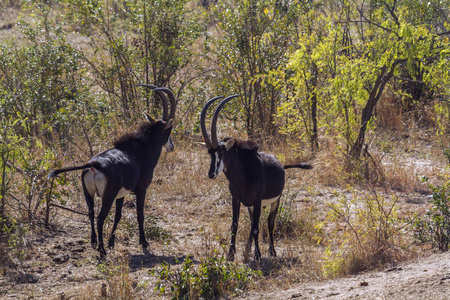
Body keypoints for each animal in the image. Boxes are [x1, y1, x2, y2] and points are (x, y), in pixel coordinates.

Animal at [48, 84, 176, 255]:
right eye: (169, 130)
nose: (171, 147)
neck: (142, 148)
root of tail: (94, 165)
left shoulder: (121, 194)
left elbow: (118, 216)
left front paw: (111, 242)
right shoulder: (141, 189)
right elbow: (140, 215)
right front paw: (143, 242)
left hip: (88, 194)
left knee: (91, 213)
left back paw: (94, 241)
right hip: (107, 196)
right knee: (100, 217)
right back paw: (101, 250)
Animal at [200, 95, 312, 262]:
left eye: (221, 152)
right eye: (209, 153)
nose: (211, 174)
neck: (242, 175)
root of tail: (281, 165)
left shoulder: (258, 201)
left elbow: (256, 229)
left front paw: (257, 255)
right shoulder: (236, 199)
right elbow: (234, 225)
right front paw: (231, 254)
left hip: (275, 201)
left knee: (270, 223)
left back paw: (271, 251)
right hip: (250, 206)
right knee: (255, 222)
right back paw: (248, 251)